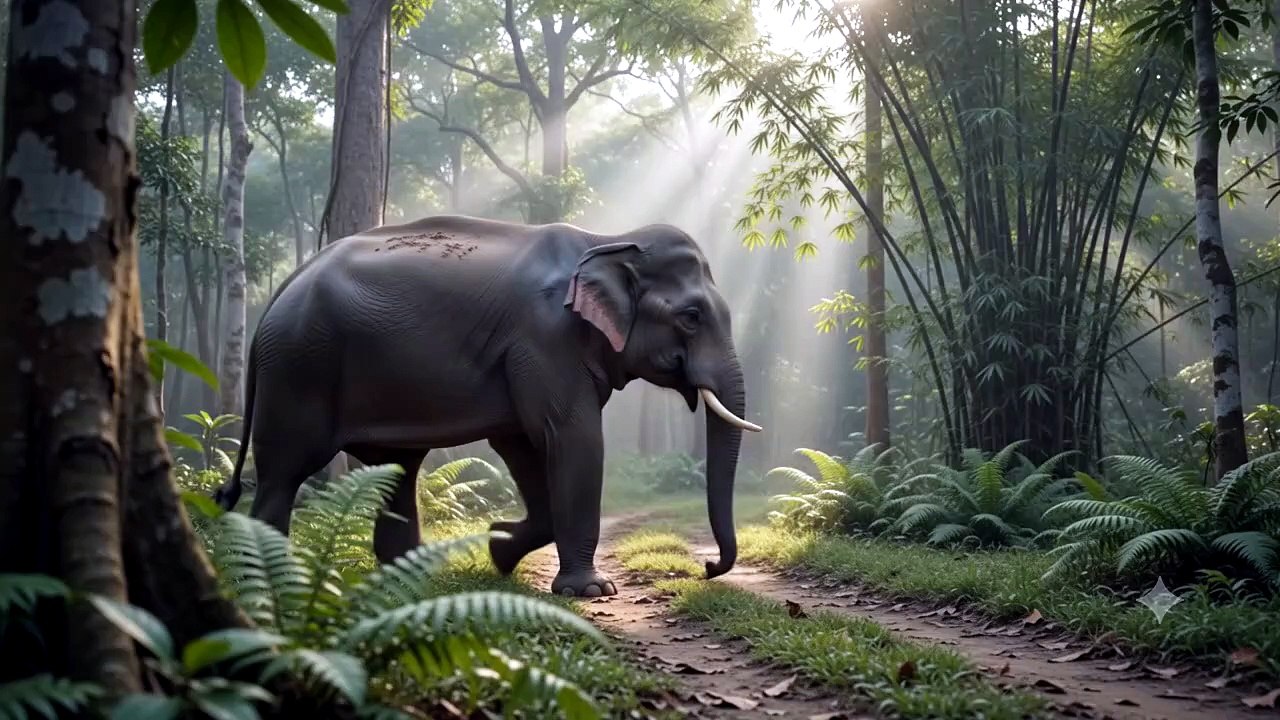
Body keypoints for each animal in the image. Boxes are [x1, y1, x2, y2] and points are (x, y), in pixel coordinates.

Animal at [213, 215, 761, 597]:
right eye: (691, 317)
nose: (707, 566)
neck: (608, 238)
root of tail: (284, 286)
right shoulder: (544, 340)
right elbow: (569, 436)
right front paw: (590, 590)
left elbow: (521, 442)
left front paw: (499, 547)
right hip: (299, 366)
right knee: (284, 472)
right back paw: (272, 579)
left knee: (394, 470)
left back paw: (410, 581)